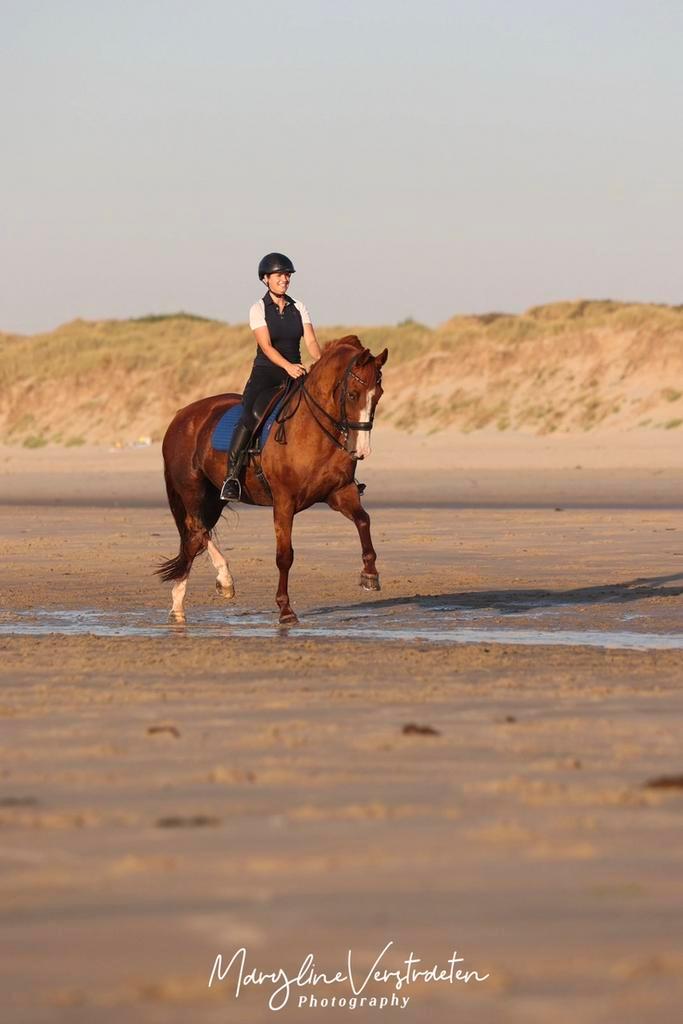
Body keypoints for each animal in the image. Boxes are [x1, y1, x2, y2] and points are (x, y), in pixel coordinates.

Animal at [156, 335, 388, 624]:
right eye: (353, 394)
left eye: (378, 395)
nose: (361, 450)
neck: (314, 429)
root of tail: (181, 415)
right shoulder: (284, 502)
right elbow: (284, 556)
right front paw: (285, 609)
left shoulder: (340, 492)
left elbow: (363, 521)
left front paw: (370, 574)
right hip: (193, 491)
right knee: (196, 531)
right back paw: (216, 583)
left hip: (214, 496)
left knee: (196, 535)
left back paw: (191, 597)